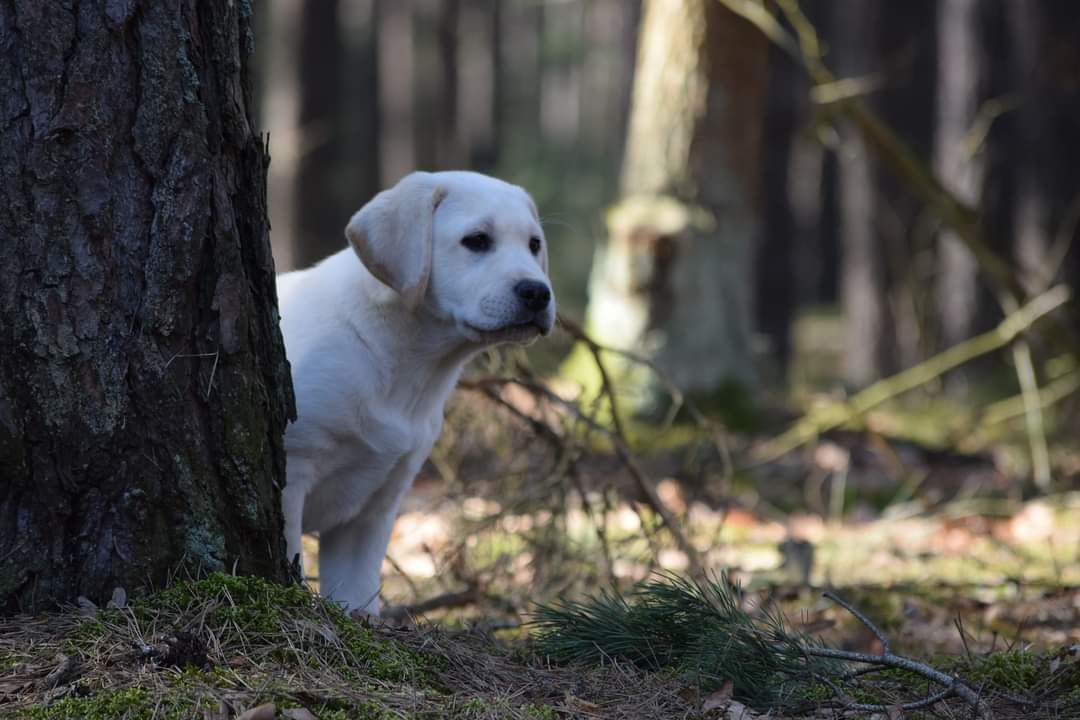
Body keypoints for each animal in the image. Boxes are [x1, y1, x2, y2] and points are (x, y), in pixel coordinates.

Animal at [276, 170, 557, 613]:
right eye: (477, 240)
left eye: (534, 244)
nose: (538, 292)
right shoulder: (293, 472)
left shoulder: (375, 506)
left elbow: (357, 595)